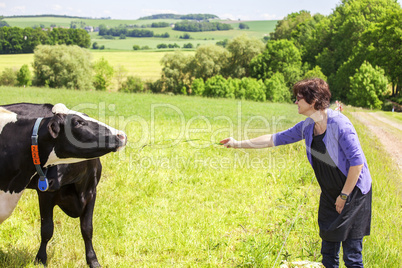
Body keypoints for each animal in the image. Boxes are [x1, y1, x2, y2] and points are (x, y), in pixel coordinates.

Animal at [2, 103, 112, 268]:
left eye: (64, 158)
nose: (49, 180)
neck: (77, 184)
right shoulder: (45, 195)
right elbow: (47, 229)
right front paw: (41, 259)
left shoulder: (91, 192)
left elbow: (87, 229)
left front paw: (93, 260)